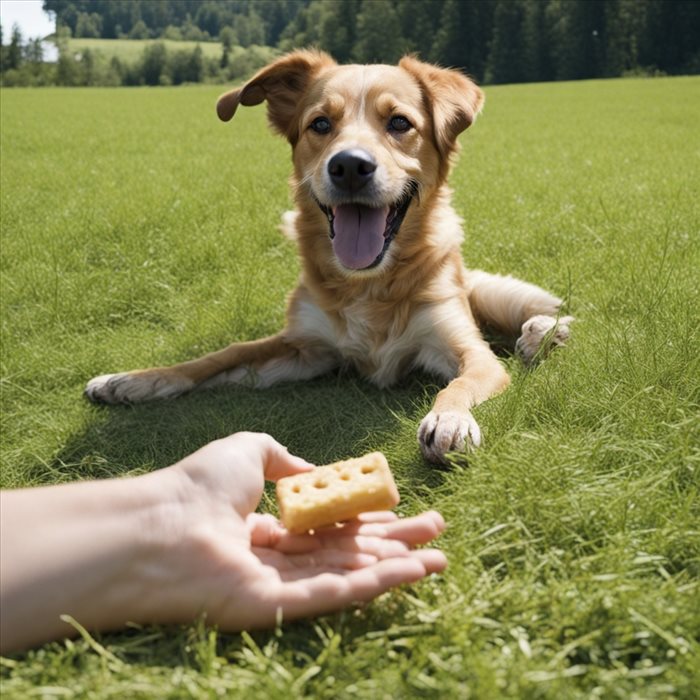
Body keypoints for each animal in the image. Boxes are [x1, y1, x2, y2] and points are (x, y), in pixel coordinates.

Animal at [85, 50, 572, 464]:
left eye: (399, 122)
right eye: (320, 124)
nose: (350, 166)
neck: (367, 283)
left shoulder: (465, 348)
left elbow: (463, 380)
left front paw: (449, 419)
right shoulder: (306, 348)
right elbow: (219, 357)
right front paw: (133, 381)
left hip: (488, 294)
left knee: (541, 310)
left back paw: (544, 334)